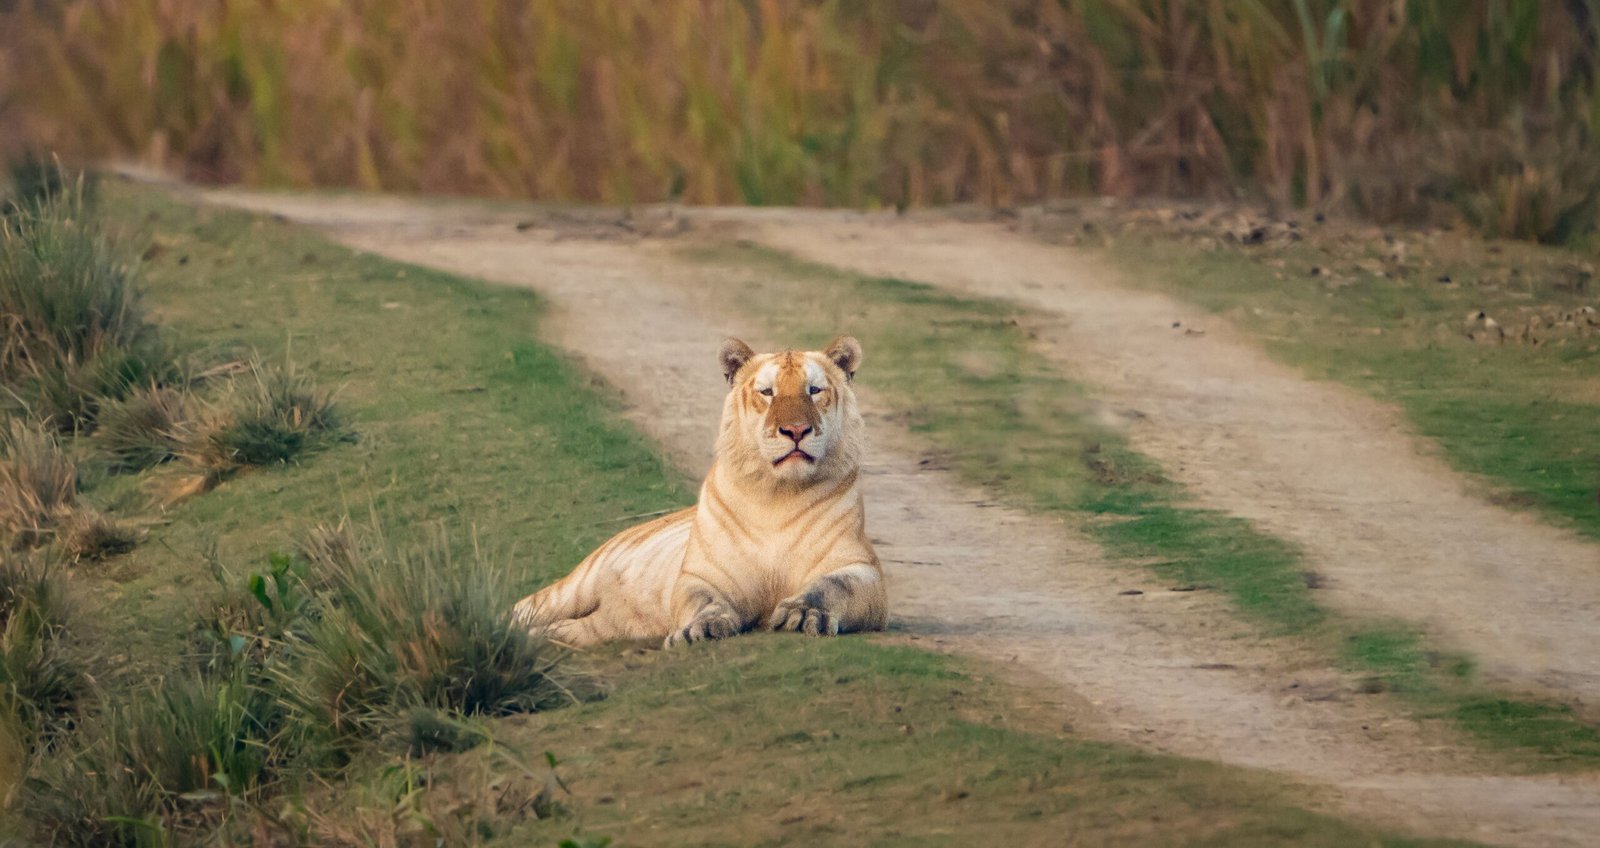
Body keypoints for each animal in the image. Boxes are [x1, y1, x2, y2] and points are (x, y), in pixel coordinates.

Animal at [512, 332, 889, 643]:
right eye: (768, 393)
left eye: (814, 390)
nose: (795, 430)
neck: (778, 495)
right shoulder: (702, 575)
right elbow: (703, 600)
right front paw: (703, 628)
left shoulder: (861, 569)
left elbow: (831, 587)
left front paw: (804, 614)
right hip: (577, 585)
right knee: (523, 607)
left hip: (600, 627)